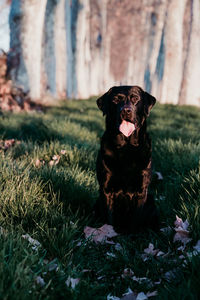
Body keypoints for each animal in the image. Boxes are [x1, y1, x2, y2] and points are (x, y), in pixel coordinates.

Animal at [95, 85, 158, 233]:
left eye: (135, 98)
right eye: (116, 100)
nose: (126, 110)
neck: (126, 147)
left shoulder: (141, 191)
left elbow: (135, 220)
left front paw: (132, 236)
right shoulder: (106, 189)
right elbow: (109, 219)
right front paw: (109, 234)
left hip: (151, 202)